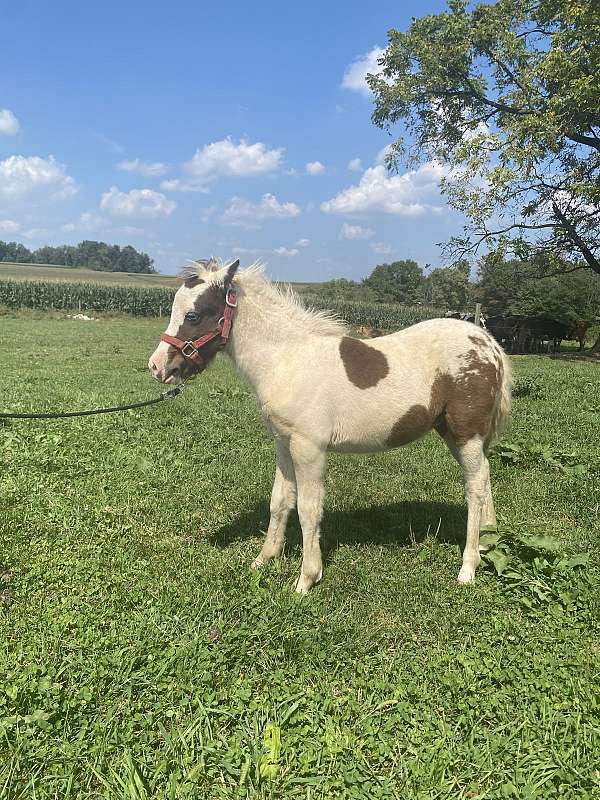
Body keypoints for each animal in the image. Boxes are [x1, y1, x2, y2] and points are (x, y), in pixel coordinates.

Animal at [149, 260, 510, 592]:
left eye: (193, 316)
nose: (157, 366)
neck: (288, 360)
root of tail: (488, 343)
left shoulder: (309, 447)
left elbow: (309, 510)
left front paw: (306, 579)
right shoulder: (284, 443)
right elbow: (280, 501)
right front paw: (263, 560)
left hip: (466, 432)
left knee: (475, 488)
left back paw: (468, 568)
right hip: (454, 433)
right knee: (485, 475)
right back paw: (487, 541)